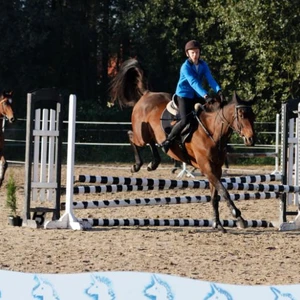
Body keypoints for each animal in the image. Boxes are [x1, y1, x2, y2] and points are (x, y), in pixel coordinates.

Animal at [110, 58, 255, 232]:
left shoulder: (216, 168)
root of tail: (147, 94)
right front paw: (238, 217)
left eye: (253, 116)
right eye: (241, 115)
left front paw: (218, 224)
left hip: (150, 134)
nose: (251, 139)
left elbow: (215, 196)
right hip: (141, 135)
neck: (212, 130)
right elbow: (224, 191)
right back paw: (137, 165)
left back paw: (154, 162)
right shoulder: (206, 167)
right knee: (131, 136)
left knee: (152, 142)